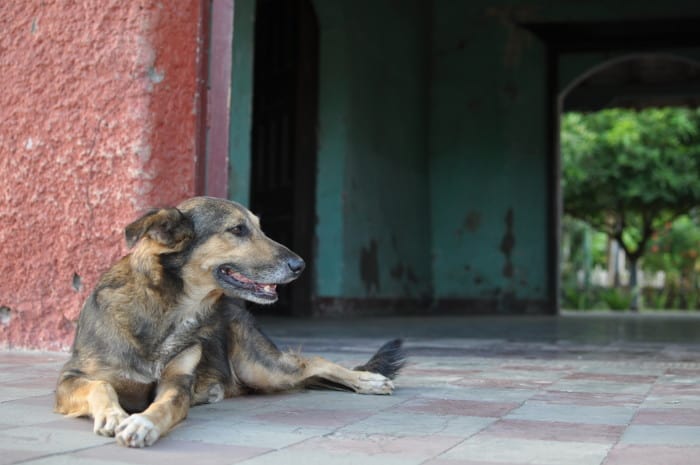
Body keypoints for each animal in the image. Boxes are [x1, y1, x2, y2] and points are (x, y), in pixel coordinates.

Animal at [56, 196, 404, 446]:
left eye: (260, 227)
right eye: (237, 229)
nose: (300, 265)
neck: (170, 311)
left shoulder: (177, 383)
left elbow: (164, 406)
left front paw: (142, 424)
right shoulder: (69, 379)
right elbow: (101, 385)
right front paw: (113, 416)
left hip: (262, 368)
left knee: (311, 361)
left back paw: (368, 380)